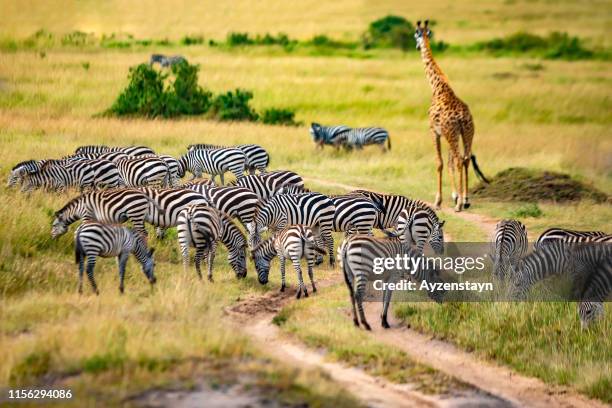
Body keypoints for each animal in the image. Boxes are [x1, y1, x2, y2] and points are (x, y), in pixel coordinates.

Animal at [414, 20, 490, 212]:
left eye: (415, 35)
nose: (417, 47)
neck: (438, 87)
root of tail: (463, 117)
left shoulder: (434, 131)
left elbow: (440, 163)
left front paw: (438, 201)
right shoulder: (447, 133)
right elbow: (448, 163)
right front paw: (456, 195)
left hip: (452, 133)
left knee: (458, 159)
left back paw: (459, 204)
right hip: (468, 132)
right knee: (465, 158)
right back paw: (466, 200)